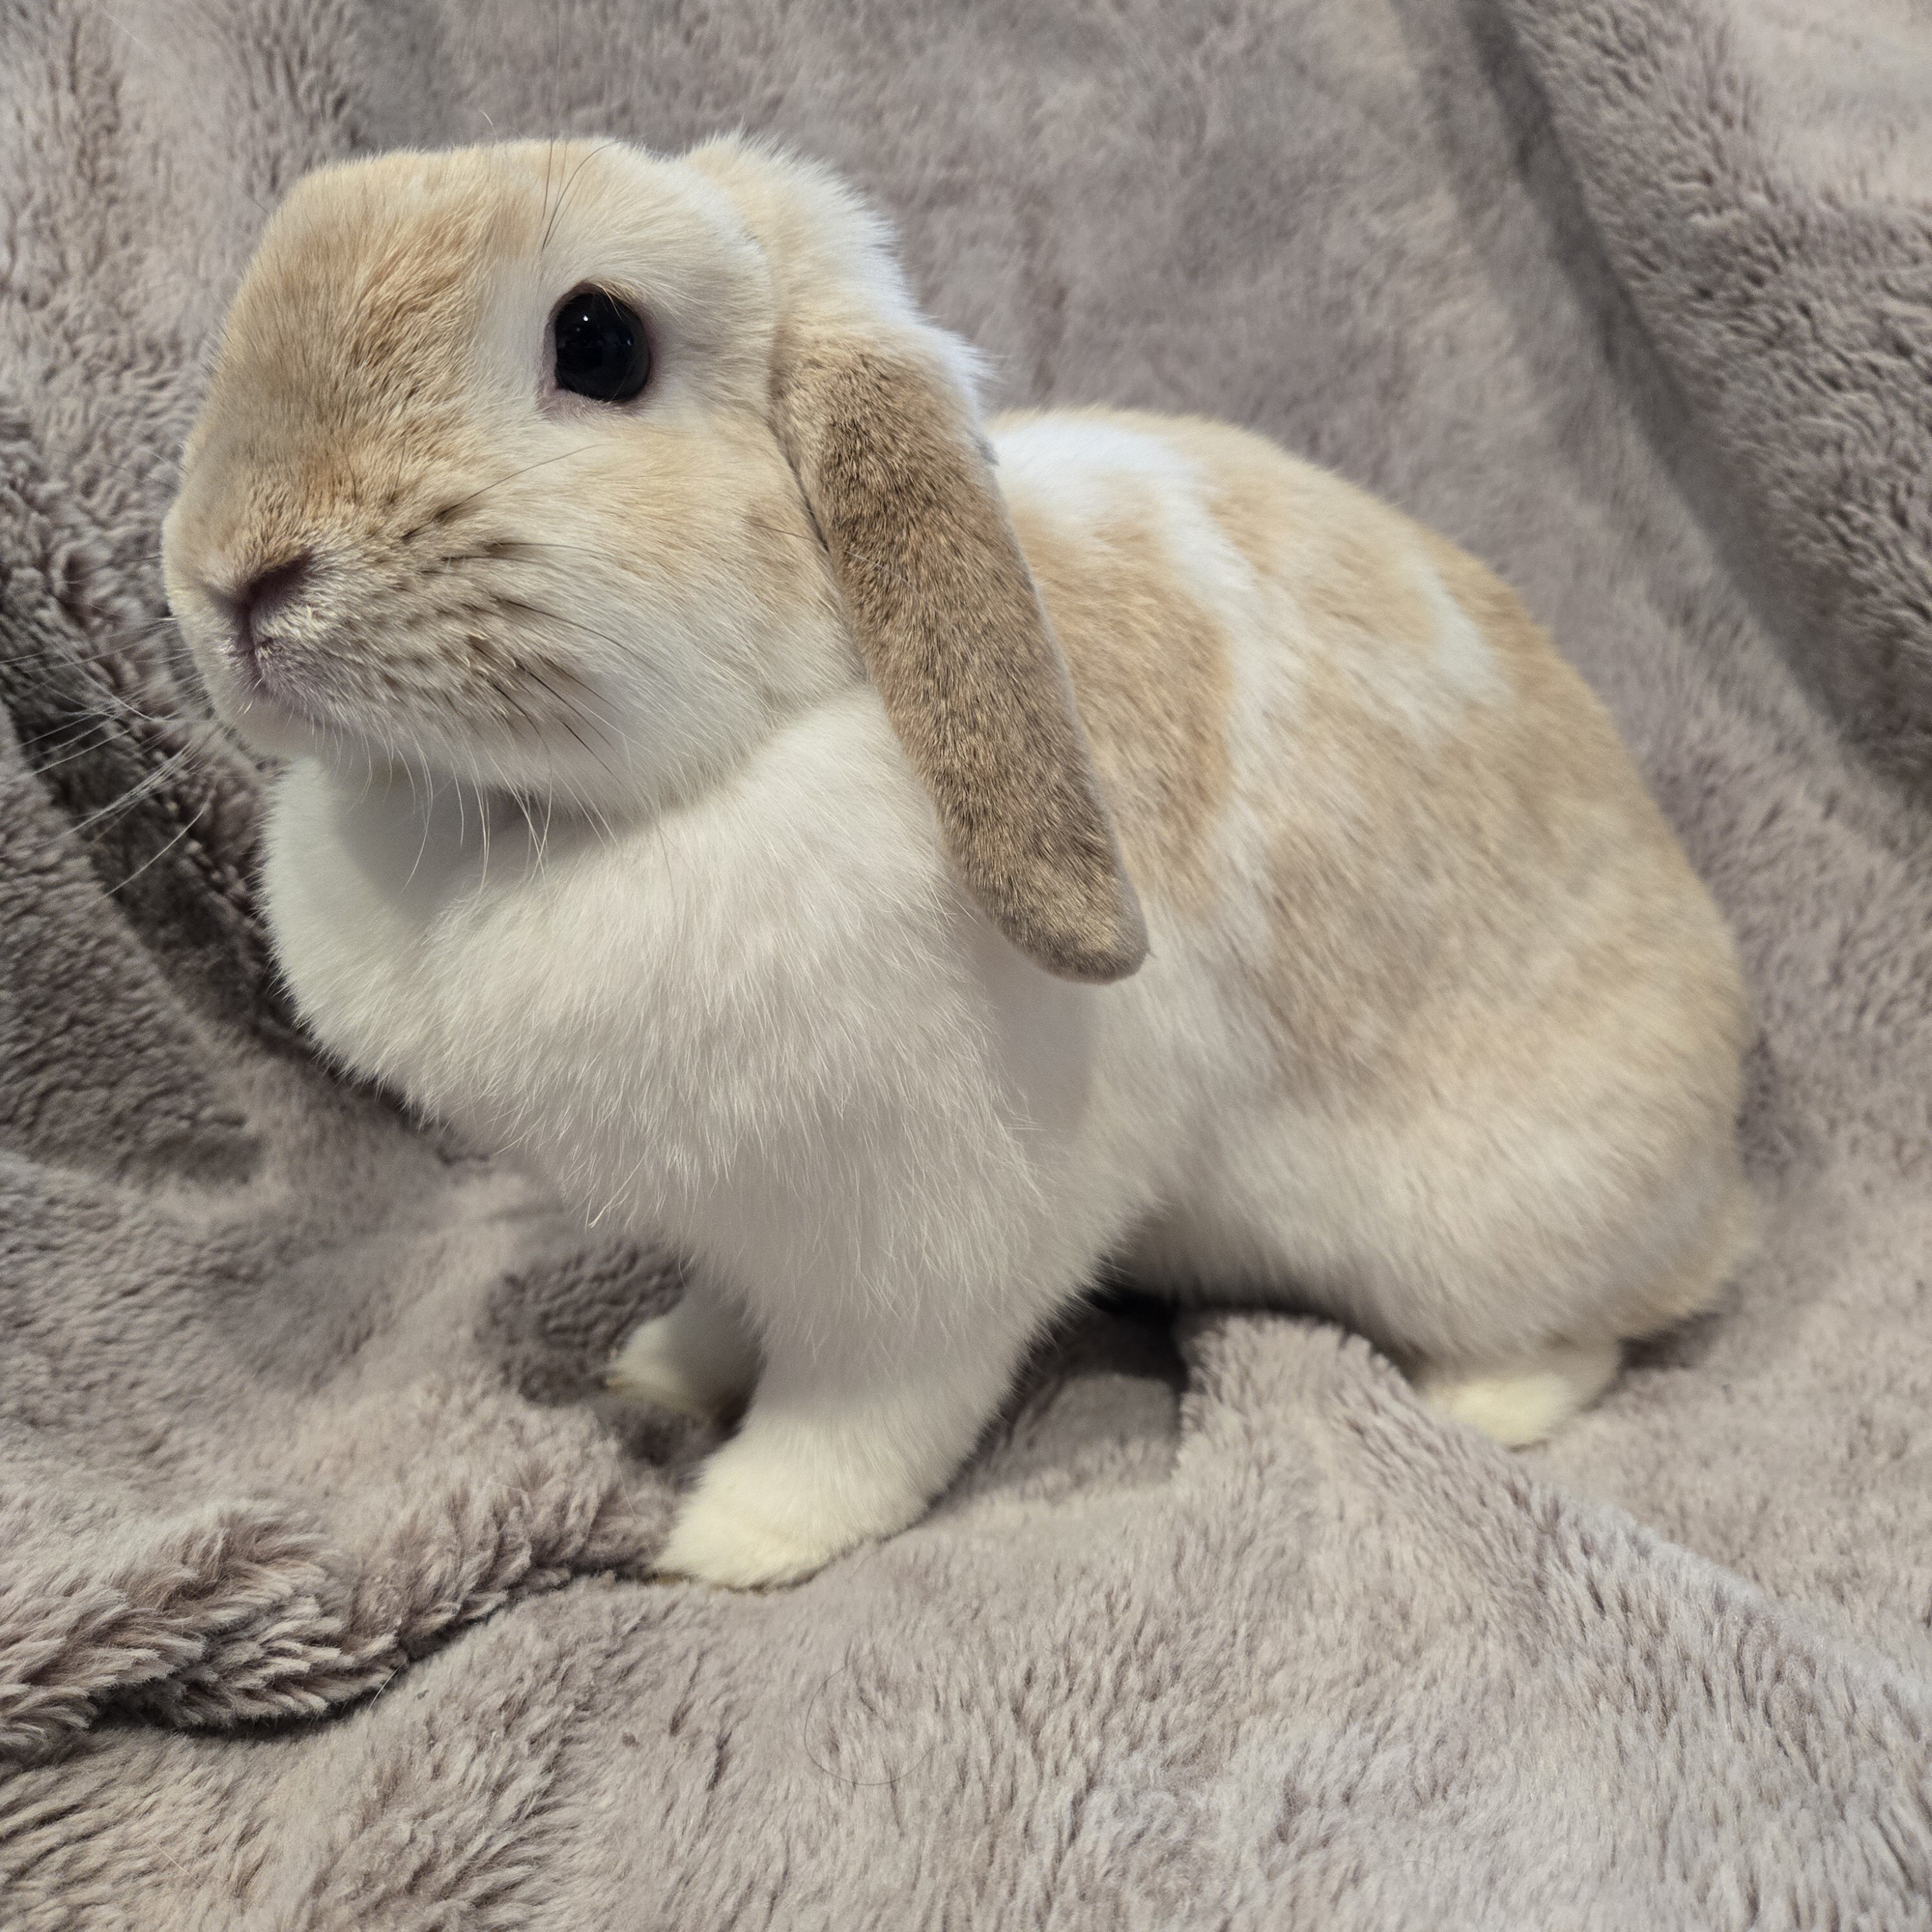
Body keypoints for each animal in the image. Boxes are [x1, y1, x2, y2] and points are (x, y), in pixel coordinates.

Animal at [160, 135, 1753, 1589]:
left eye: (599, 343)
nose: (234, 570)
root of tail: (1717, 1186)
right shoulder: (744, 1216)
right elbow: (730, 1311)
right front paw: (663, 1366)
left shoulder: (918, 1261)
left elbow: (858, 1415)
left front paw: (733, 1538)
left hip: (1484, 1231)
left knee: (1595, 1330)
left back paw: (1483, 1399)